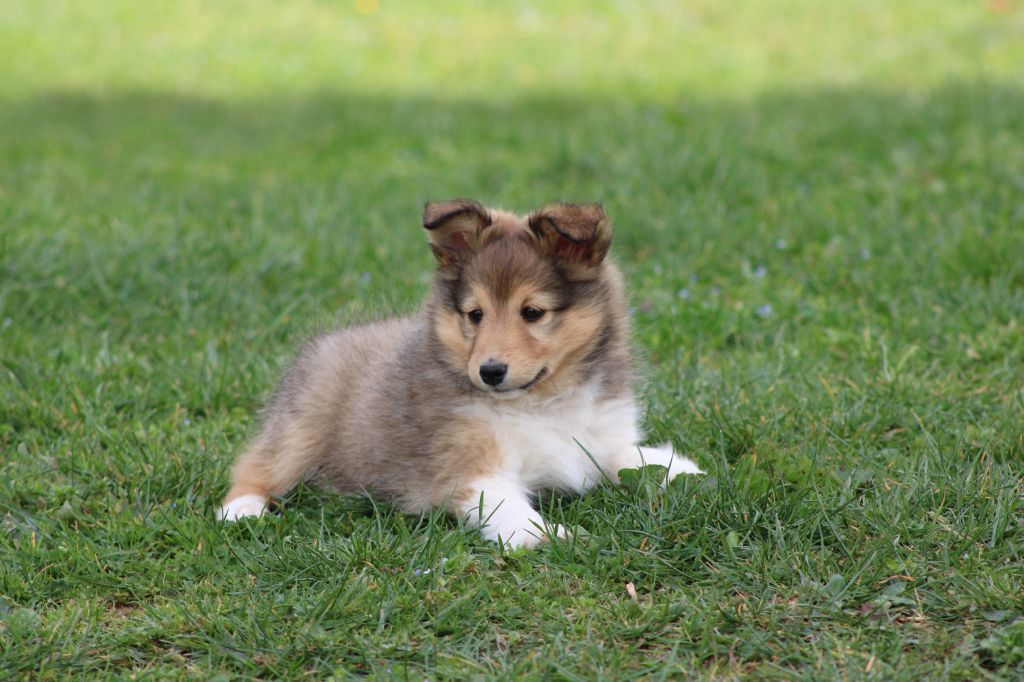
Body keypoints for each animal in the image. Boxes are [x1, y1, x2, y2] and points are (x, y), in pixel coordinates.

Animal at [222, 199, 704, 544]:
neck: (541, 404)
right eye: (475, 314)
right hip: (301, 426)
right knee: (255, 466)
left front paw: (692, 474)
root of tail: (326, 341)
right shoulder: (465, 469)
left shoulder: (599, 444)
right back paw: (240, 512)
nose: (490, 371)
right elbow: (506, 506)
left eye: (532, 312)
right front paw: (552, 537)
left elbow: (640, 459)